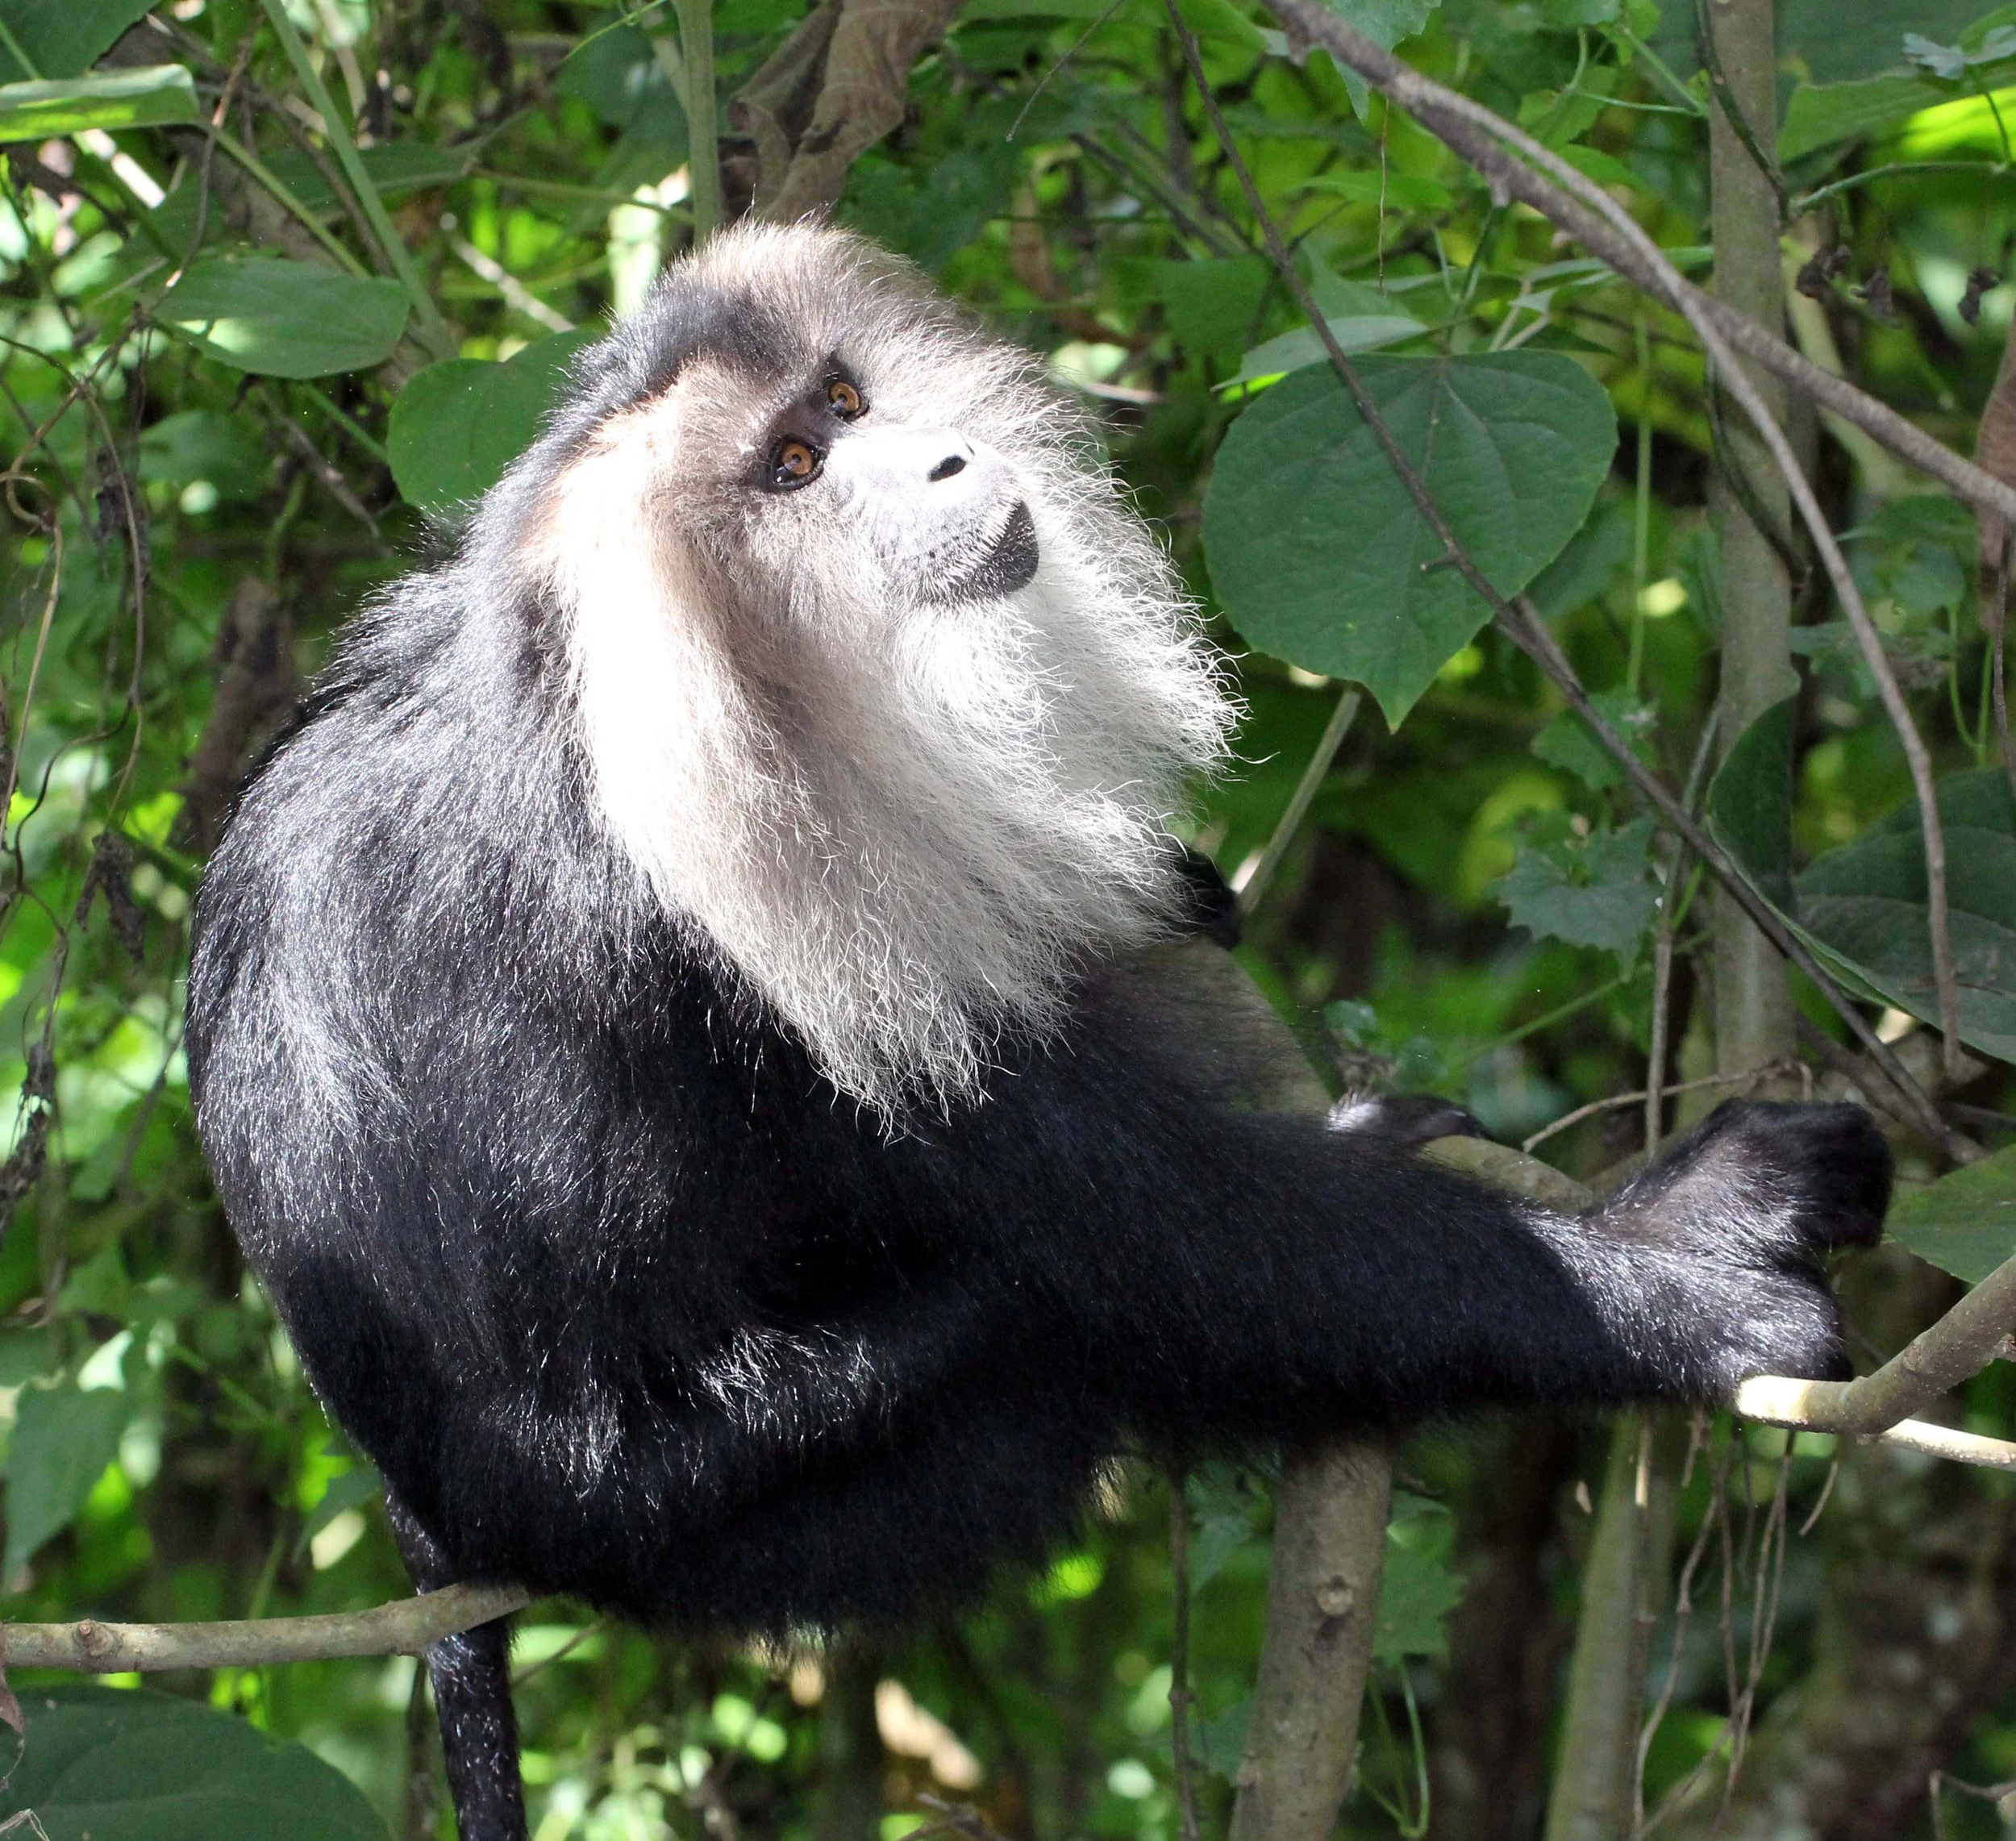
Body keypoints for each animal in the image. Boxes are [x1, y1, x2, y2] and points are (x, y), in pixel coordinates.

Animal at [185, 222, 1891, 1841]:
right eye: (796, 469)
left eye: (844, 401)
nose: (940, 458)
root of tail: (438, 1507)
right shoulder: (740, 941)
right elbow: (1163, 1241)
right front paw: (1680, 1267)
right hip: (736, 1499)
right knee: (1054, 1298)